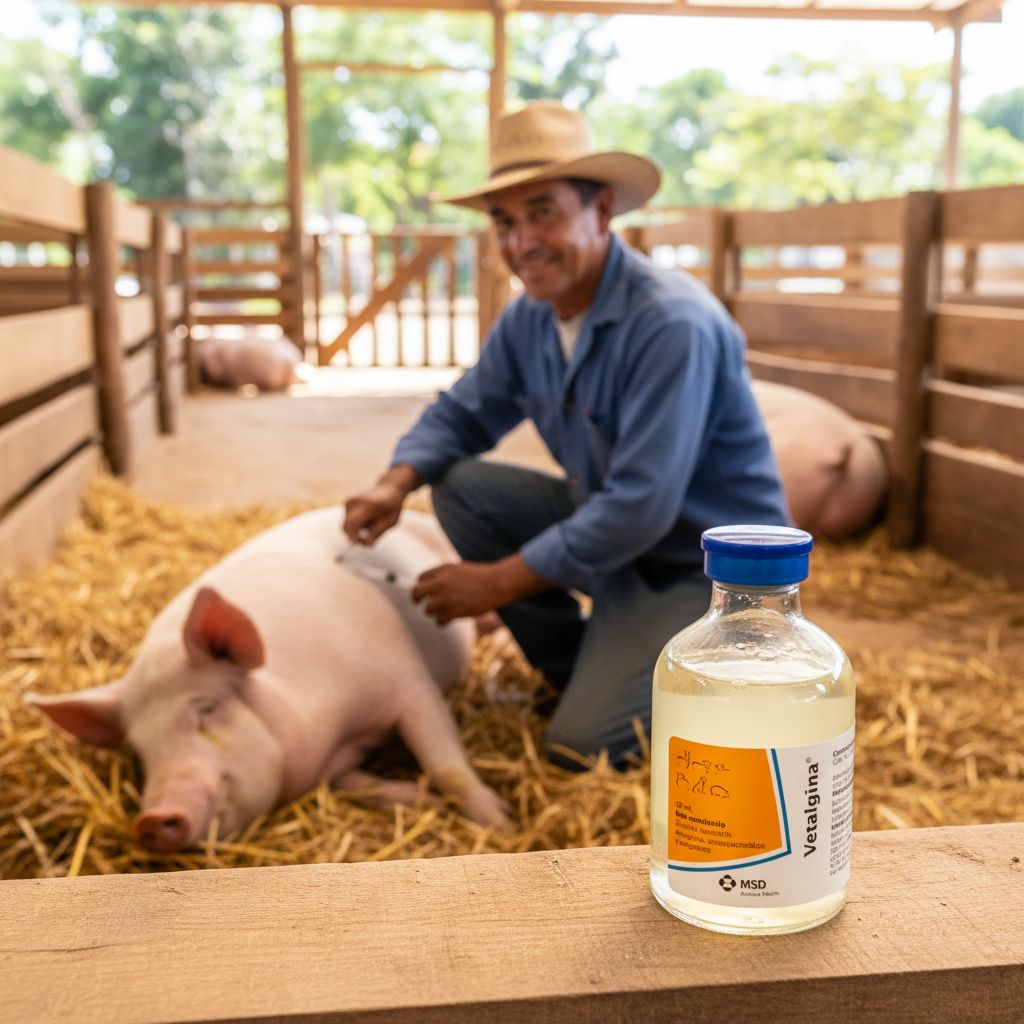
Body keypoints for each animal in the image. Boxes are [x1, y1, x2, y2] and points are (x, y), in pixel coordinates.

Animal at [26, 509, 508, 853]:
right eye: (141, 751)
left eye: (207, 708)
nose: (150, 820)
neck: (337, 728)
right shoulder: (333, 769)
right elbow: (368, 786)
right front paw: (426, 800)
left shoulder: (410, 682)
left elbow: (446, 764)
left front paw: (501, 822)